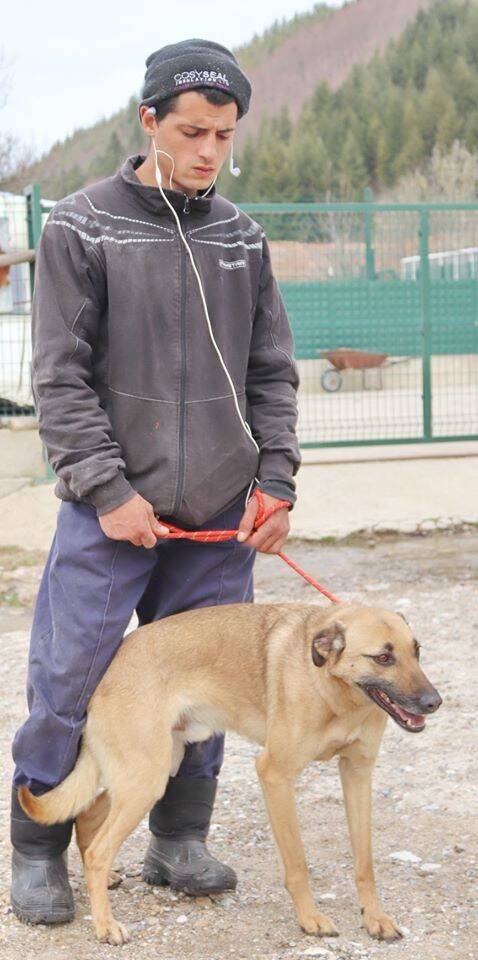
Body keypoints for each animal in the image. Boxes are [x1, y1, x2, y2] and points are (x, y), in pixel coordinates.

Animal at [19, 601, 442, 945]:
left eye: (416, 651)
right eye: (382, 658)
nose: (434, 702)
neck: (336, 691)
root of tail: (109, 667)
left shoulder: (358, 774)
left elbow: (365, 861)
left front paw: (376, 918)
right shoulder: (275, 774)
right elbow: (297, 862)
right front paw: (310, 918)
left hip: (153, 768)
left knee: (90, 814)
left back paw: (104, 885)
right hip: (145, 778)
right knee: (98, 849)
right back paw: (105, 925)